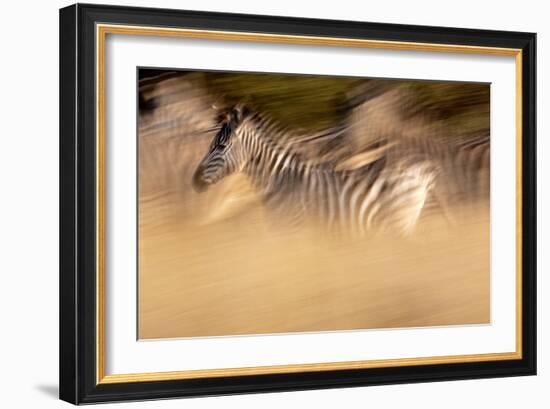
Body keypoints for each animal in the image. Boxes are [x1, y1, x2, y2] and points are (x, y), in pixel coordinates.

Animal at [192, 104, 438, 236]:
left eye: (220, 146)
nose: (194, 181)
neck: (279, 181)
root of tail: (419, 167)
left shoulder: (293, 231)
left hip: (400, 221)